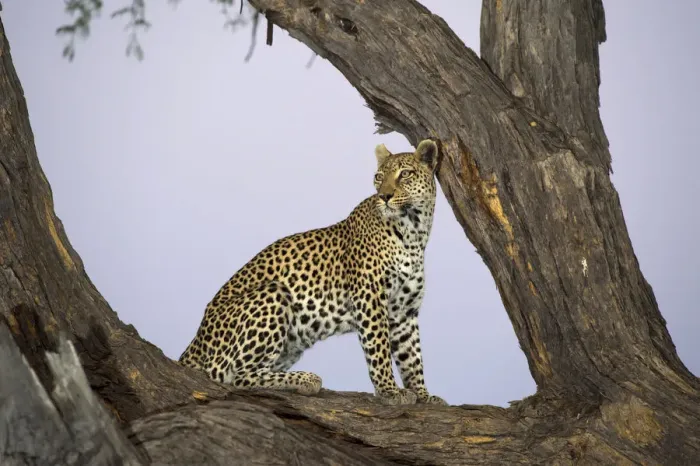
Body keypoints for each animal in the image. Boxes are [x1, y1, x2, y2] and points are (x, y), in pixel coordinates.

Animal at [179, 139, 447, 406]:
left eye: (405, 174)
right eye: (379, 177)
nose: (384, 196)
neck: (414, 232)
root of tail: (194, 344)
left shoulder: (404, 311)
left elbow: (412, 357)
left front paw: (424, 396)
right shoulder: (369, 298)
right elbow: (378, 347)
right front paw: (389, 391)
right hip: (274, 294)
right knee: (238, 376)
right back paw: (306, 379)